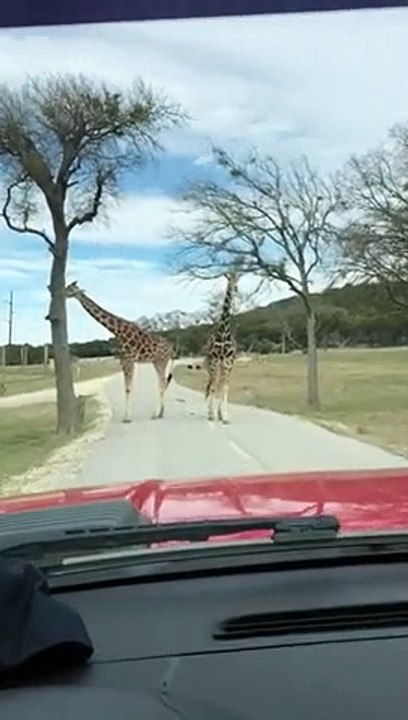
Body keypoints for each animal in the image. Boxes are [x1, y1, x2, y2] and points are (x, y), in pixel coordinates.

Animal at [65, 282, 174, 423]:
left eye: (71, 288)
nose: (62, 292)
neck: (118, 332)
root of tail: (170, 346)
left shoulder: (129, 360)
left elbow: (128, 388)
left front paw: (127, 418)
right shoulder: (123, 360)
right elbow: (126, 387)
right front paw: (126, 416)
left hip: (162, 360)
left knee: (161, 382)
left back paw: (156, 414)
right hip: (156, 361)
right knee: (162, 381)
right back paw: (160, 413)